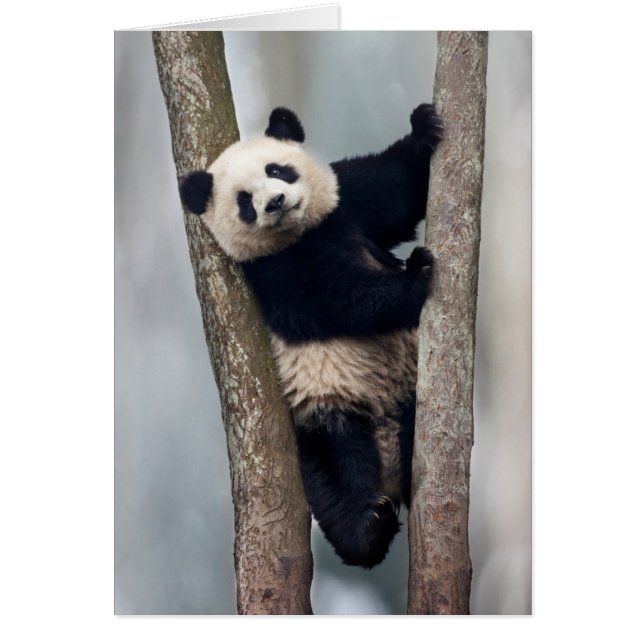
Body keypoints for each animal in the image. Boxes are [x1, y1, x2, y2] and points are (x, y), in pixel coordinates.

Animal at [179, 104, 443, 568]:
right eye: (244, 201)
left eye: (277, 170)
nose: (275, 202)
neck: (302, 234)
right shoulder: (273, 273)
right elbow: (337, 299)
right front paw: (415, 277)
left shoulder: (346, 204)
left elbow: (395, 190)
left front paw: (424, 127)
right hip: (324, 413)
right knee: (337, 475)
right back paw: (369, 528)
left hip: (410, 387)